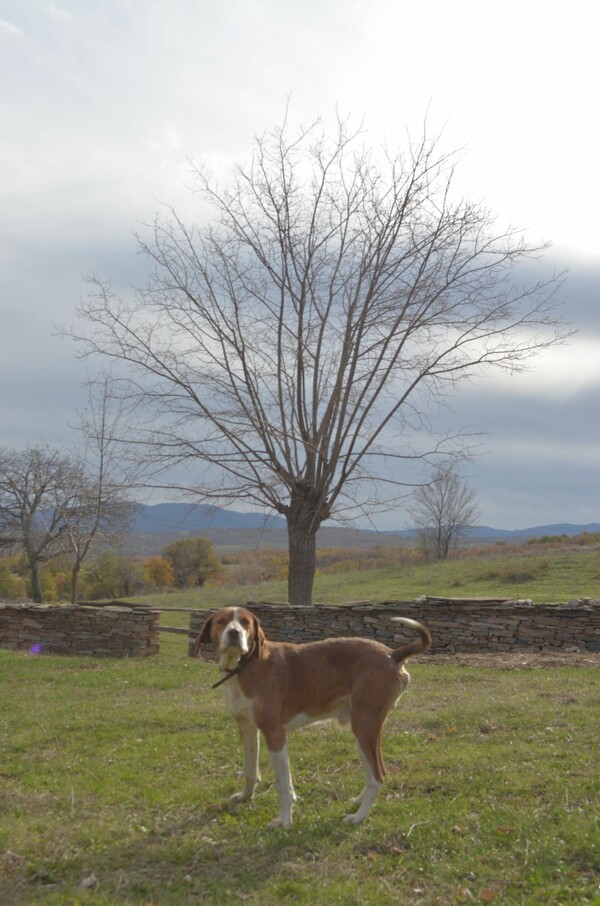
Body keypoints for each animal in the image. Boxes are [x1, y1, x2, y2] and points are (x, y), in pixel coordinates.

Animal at [195, 608, 434, 828]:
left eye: (245, 622)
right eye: (222, 621)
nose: (234, 633)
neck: (244, 666)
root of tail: (392, 653)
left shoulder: (275, 734)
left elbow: (283, 784)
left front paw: (284, 821)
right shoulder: (247, 730)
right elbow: (251, 771)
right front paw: (246, 797)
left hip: (364, 727)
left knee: (378, 776)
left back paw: (358, 818)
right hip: (364, 731)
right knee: (375, 773)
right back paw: (358, 802)